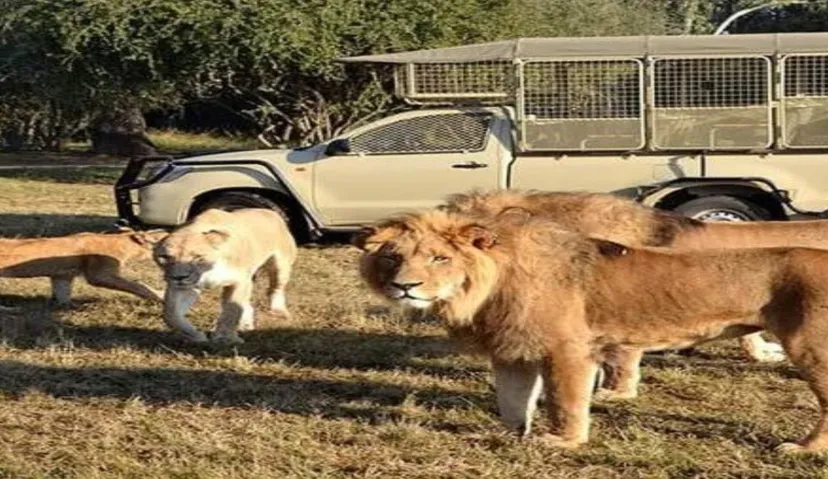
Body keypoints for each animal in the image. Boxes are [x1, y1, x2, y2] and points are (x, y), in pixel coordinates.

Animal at [0, 229, 167, 306]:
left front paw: (67, 306)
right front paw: (160, 295)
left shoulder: (62, 275)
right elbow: (138, 285)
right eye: (163, 234)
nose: (168, 229)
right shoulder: (100, 275)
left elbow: (62, 292)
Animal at [153, 208, 297, 344]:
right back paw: (245, 324)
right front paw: (195, 336)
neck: (208, 270)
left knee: (275, 288)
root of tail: (270, 211)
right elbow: (171, 315)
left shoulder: (239, 281)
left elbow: (231, 310)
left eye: (197, 257)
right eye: (165, 257)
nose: (179, 277)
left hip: (281, 266)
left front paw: (225, 338)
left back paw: (278, 310)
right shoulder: (184, 287)